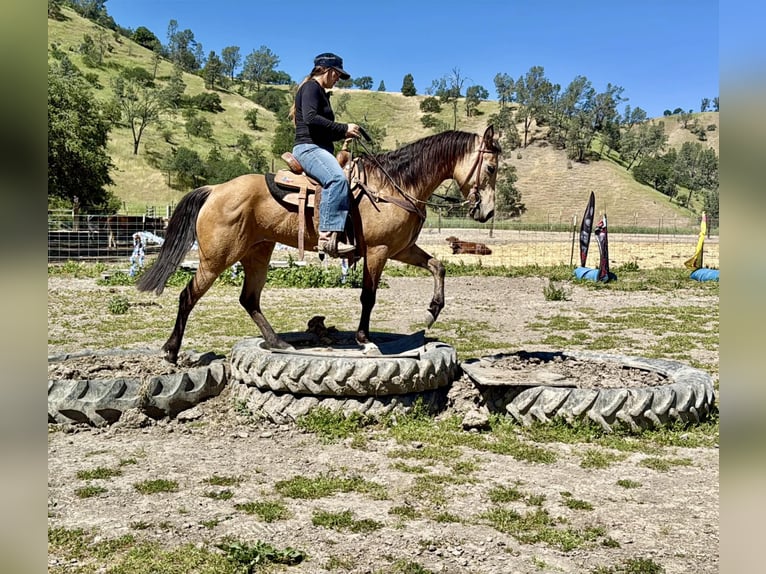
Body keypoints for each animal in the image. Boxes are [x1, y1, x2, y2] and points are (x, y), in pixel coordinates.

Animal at [137, 125, 501, 364]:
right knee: (188, 295)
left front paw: (433, 310)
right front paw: (365, 340)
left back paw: (278, 342)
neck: (393, 185)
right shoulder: (379, 251)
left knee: (249, 299)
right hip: (217, 258)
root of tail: (215, 189)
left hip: (258, 252)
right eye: (492, 167)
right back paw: (170, 351)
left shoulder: (400, 249)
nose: (487, 212)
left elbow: (438, 266)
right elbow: (368, 297)